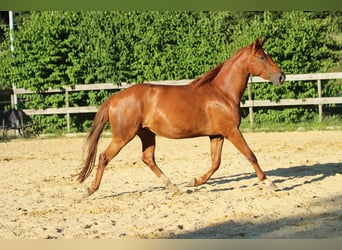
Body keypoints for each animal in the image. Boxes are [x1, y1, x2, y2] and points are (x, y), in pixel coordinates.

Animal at [77, 37, 286, 197]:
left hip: (146, 134)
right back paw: (89, 190)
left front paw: (193, 181)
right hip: (123, 137)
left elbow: (215, 163)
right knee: (104, 157)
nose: (281, 77)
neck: (222, 93)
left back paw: (175, 187)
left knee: (148, 158)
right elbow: (250, 155)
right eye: (262, 56)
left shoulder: (217, 135)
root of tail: (114, 98)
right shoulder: (231, 131)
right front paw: (269, 183)